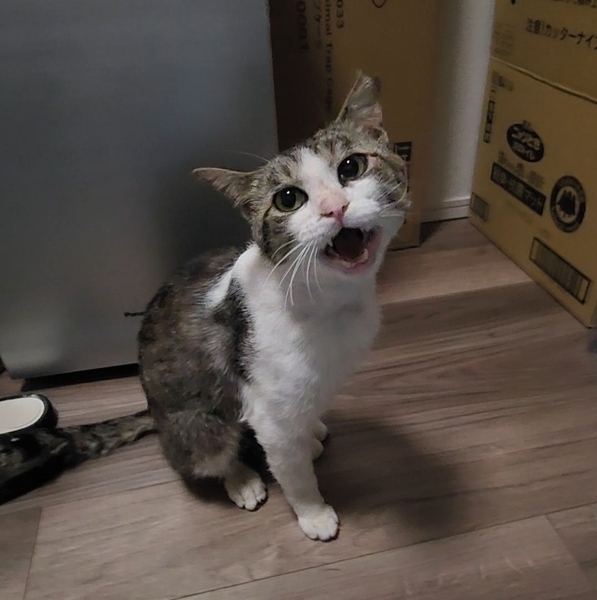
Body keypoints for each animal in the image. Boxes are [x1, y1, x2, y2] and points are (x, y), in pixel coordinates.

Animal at [137, 71, 408, 541]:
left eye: (351, 167)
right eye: (287, 199)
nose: (335, 208)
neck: (330, 303)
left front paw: (312, 430)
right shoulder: (269, 411)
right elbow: (292, 468)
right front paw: (313, 513)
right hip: (196, 426)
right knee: (213, 453)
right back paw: (241, 479)